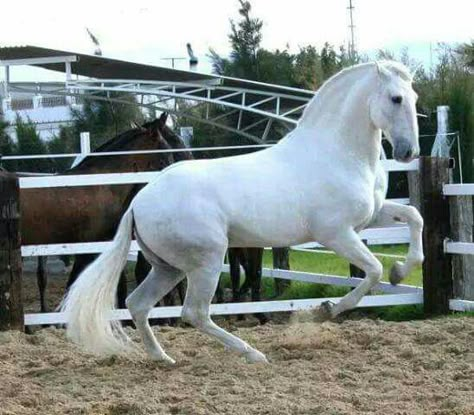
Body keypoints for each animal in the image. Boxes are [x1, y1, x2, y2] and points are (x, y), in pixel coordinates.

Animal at [61, 61, 424, 364]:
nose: (408, 152)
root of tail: (140, 201)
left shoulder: (369, 219)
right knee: (194, 313)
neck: (336, 153)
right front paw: (326, 310)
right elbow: (373, 270)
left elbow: (414, 218)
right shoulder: (336, 234)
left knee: (138, 304)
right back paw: (253, 354)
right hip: (206, 261)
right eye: (395, 98)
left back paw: (163, 358)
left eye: (414, 97)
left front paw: (400, 273)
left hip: (169, 268)